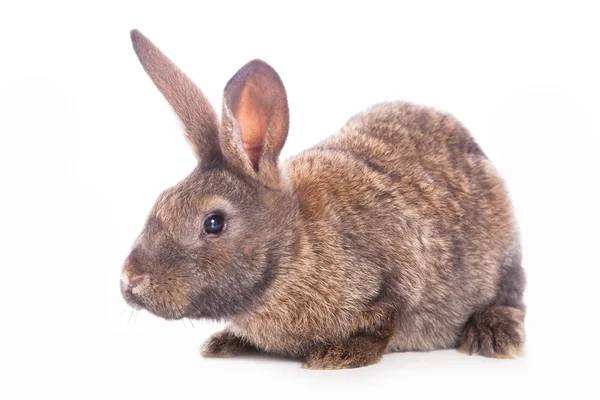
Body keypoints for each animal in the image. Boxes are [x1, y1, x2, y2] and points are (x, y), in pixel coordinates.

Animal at [120, 29, 524, 370]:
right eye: (161, 200)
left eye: (214, 222)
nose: (130, 280)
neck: (291, 249)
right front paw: (222, 342)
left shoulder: (398, 276)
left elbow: (382, 322)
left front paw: (338, 356)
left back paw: (494, 337)